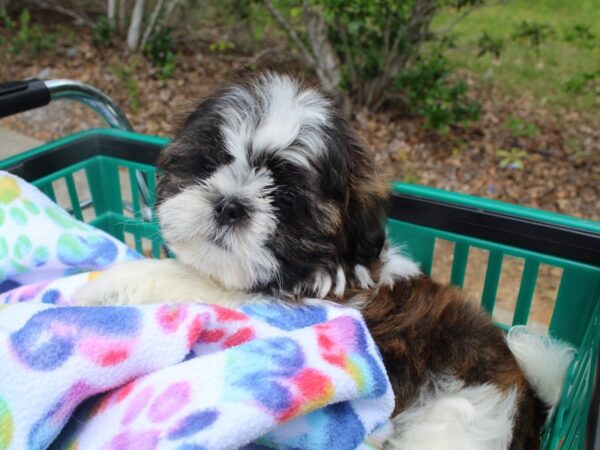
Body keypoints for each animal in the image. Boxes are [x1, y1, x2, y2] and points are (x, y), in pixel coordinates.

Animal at [75, 72, 572, 448]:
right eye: (210, 163)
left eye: (286, 198)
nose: (230, 205)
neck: (313, 272)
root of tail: (528, 403)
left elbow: (178, 278)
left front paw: (99, 283)